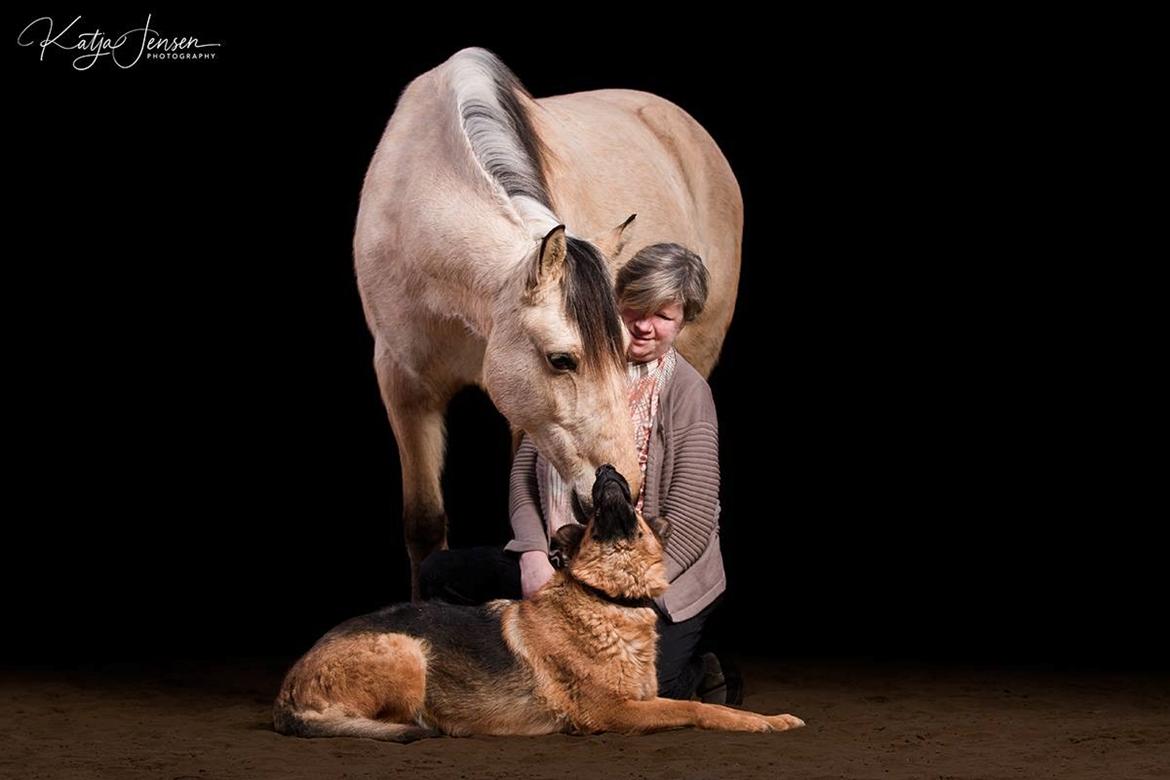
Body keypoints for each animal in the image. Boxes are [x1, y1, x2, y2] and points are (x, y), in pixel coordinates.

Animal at [273, 467, 804, 743]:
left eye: (631, 506)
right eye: (592, 514)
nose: (607, 470)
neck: (608, 599)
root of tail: (287, 691)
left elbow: (697, 702)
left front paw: (769, 717)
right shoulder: (614, 713)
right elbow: (697, 709)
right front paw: (760, 722)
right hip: (407, 651)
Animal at [351, 47, 744, 598]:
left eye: (622, 352)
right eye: (561, 359)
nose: (623, 485)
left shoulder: (524, 416)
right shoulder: (404, 386)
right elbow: (424, 523)